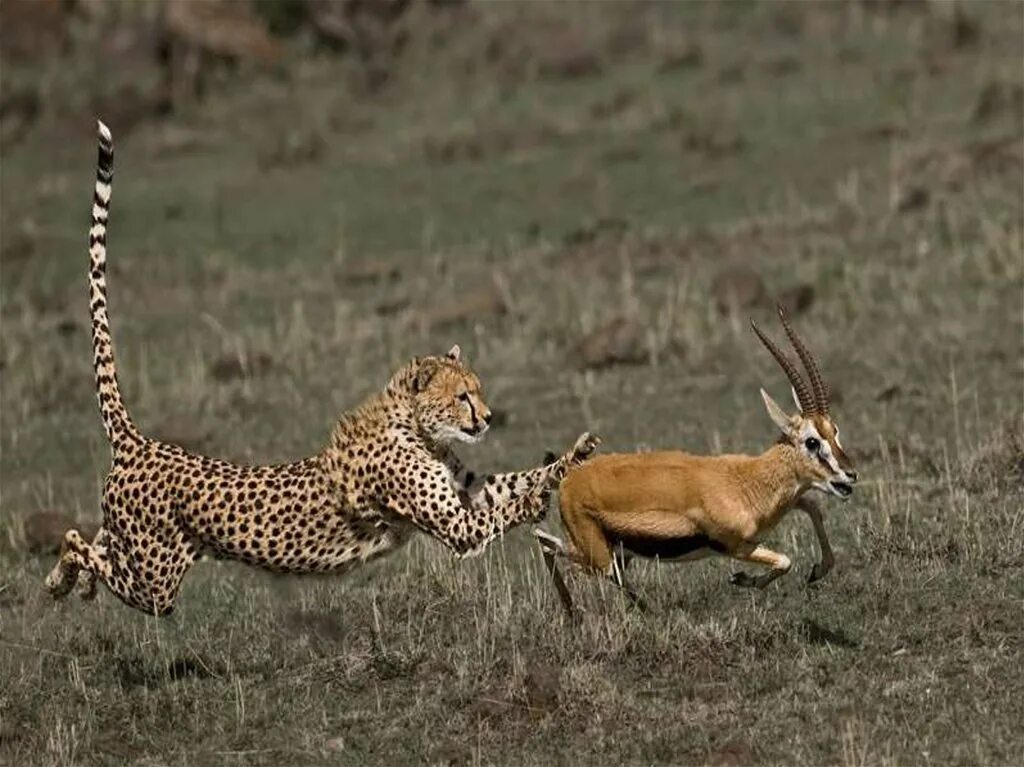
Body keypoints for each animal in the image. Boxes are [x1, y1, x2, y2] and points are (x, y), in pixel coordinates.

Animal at [46, 124, 598, 614]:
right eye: (463, 396)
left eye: (477, 392)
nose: (486, 418)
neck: (417, 428)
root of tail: (141, 444)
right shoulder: (458, 525)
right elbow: (507, 506)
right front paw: (536, 502)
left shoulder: (465, 491)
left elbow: (520, 478)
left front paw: (576, 455)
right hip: (155, 581)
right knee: (79, 541)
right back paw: (63, 575)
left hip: (137, 554)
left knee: (98, 540)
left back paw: (65, 580)